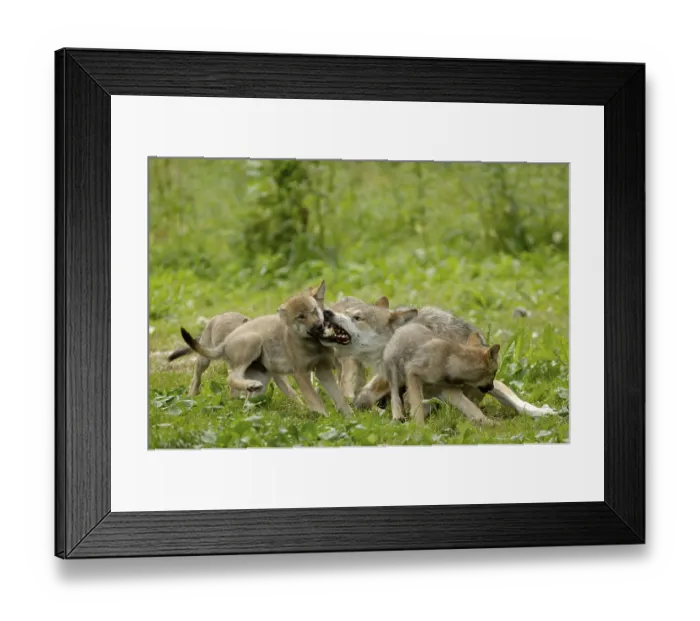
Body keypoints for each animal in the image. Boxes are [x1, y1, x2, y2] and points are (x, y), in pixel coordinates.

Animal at [179, 282, 352, 416]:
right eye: (300, 317)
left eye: (314, 310)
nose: (318, 326)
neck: (314, 344)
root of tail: (226, 342)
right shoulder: (300, 373)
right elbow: (314, 399)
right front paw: (322, 417)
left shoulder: (323, 371)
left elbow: (339, 398)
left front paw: (349, 419)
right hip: (252, 342)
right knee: (229, 378)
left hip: (263, 377)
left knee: (246, 402)